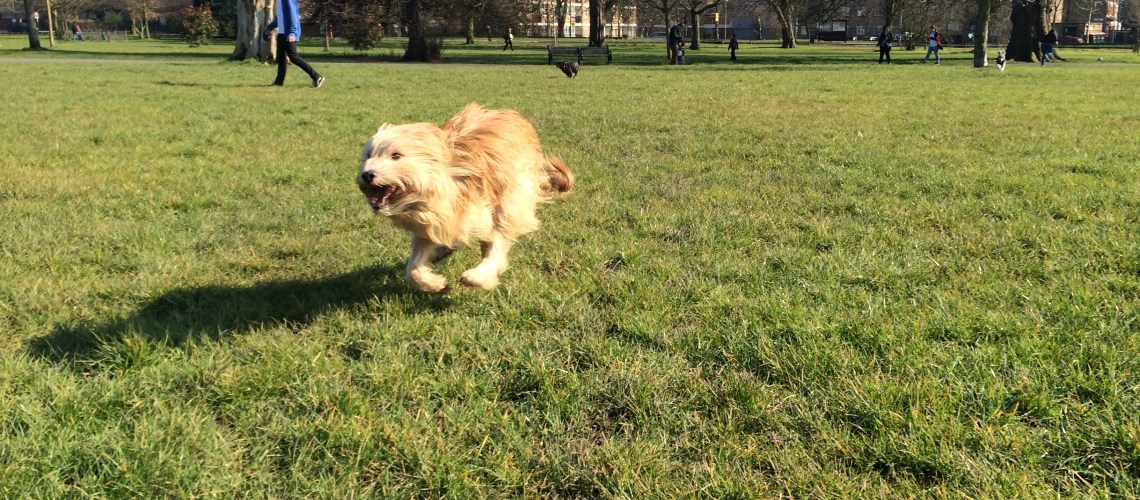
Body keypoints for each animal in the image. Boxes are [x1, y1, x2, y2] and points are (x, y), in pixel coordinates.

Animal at [357, 103, 574, 292]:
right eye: (368, 155)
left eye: (396, 156)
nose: (367, 175)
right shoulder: (430, 224)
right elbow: (413, 268)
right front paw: (434, 284)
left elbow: (497, 241)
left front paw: (479, 276)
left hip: (513, 195)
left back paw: (479, 273)